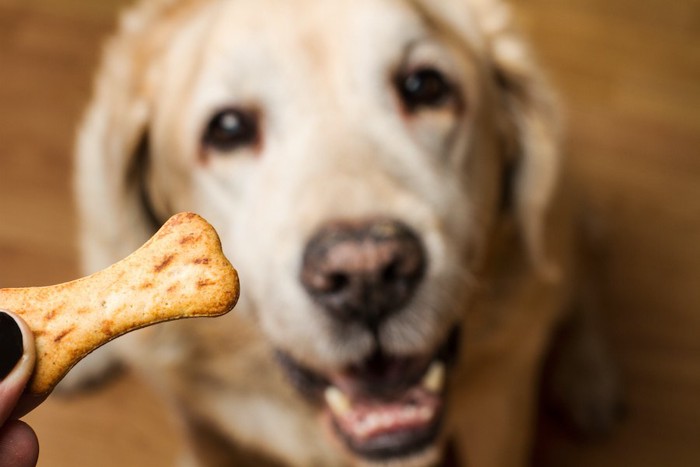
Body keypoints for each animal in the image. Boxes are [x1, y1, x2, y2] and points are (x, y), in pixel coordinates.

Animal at [69, 0, 616, 467]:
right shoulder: (201, 419)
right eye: (227, 129)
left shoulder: (500, 403)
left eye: (425, 87)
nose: (365, 274)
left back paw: (591, 375)